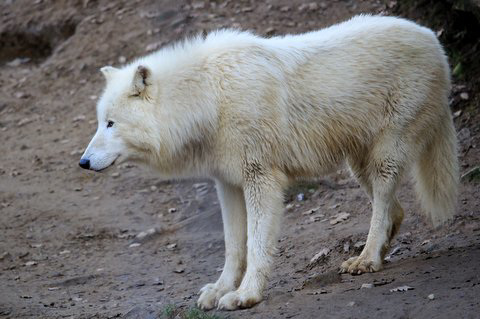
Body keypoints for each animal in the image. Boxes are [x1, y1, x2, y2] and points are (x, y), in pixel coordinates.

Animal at [80, 15, 460, 312]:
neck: (209, 97)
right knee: (396, 211)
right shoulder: (227, 185)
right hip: (357, 165)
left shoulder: (261, 179)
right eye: (99, 122)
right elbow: (233, 247)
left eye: (111, 123)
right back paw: (377, 254)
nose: (83, 162)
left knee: (383, 206)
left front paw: (246, 295)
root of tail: (432, 38)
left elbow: (257, 244)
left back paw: (366, 259)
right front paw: (221, 289)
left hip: (384, 157)